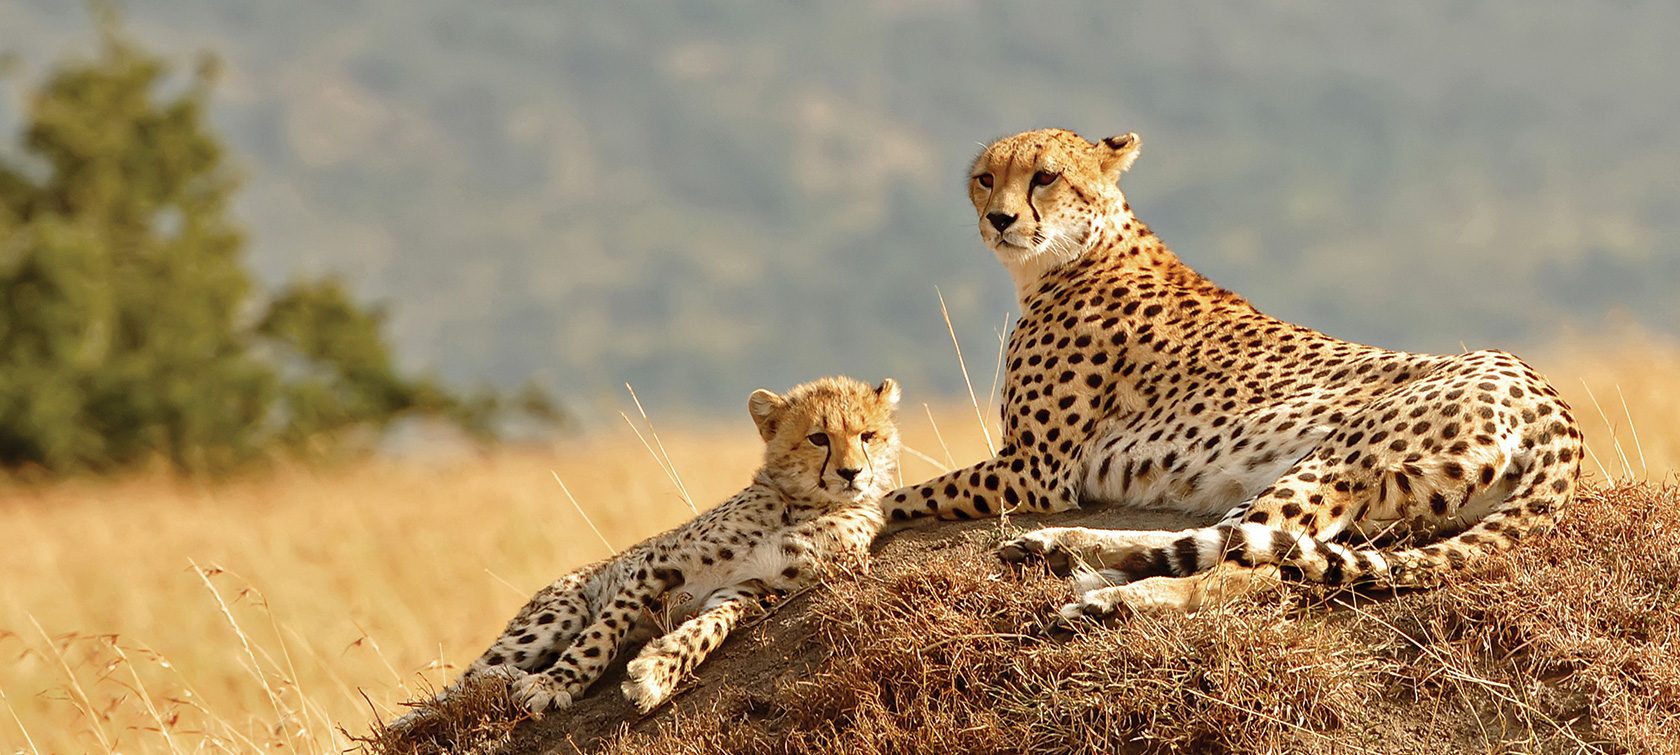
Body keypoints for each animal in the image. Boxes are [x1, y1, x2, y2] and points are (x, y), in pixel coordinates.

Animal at [887, 126, 1579, 618]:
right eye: (985, 178)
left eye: (1044, 177)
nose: (999, 218)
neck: (1077, 251)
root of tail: (1551, 401)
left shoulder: (1034, 471)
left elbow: (901, 494)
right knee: (1231, 543)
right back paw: (1063, 551)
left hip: (1337, 458)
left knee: (1254, 566)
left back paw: (1109, 595)